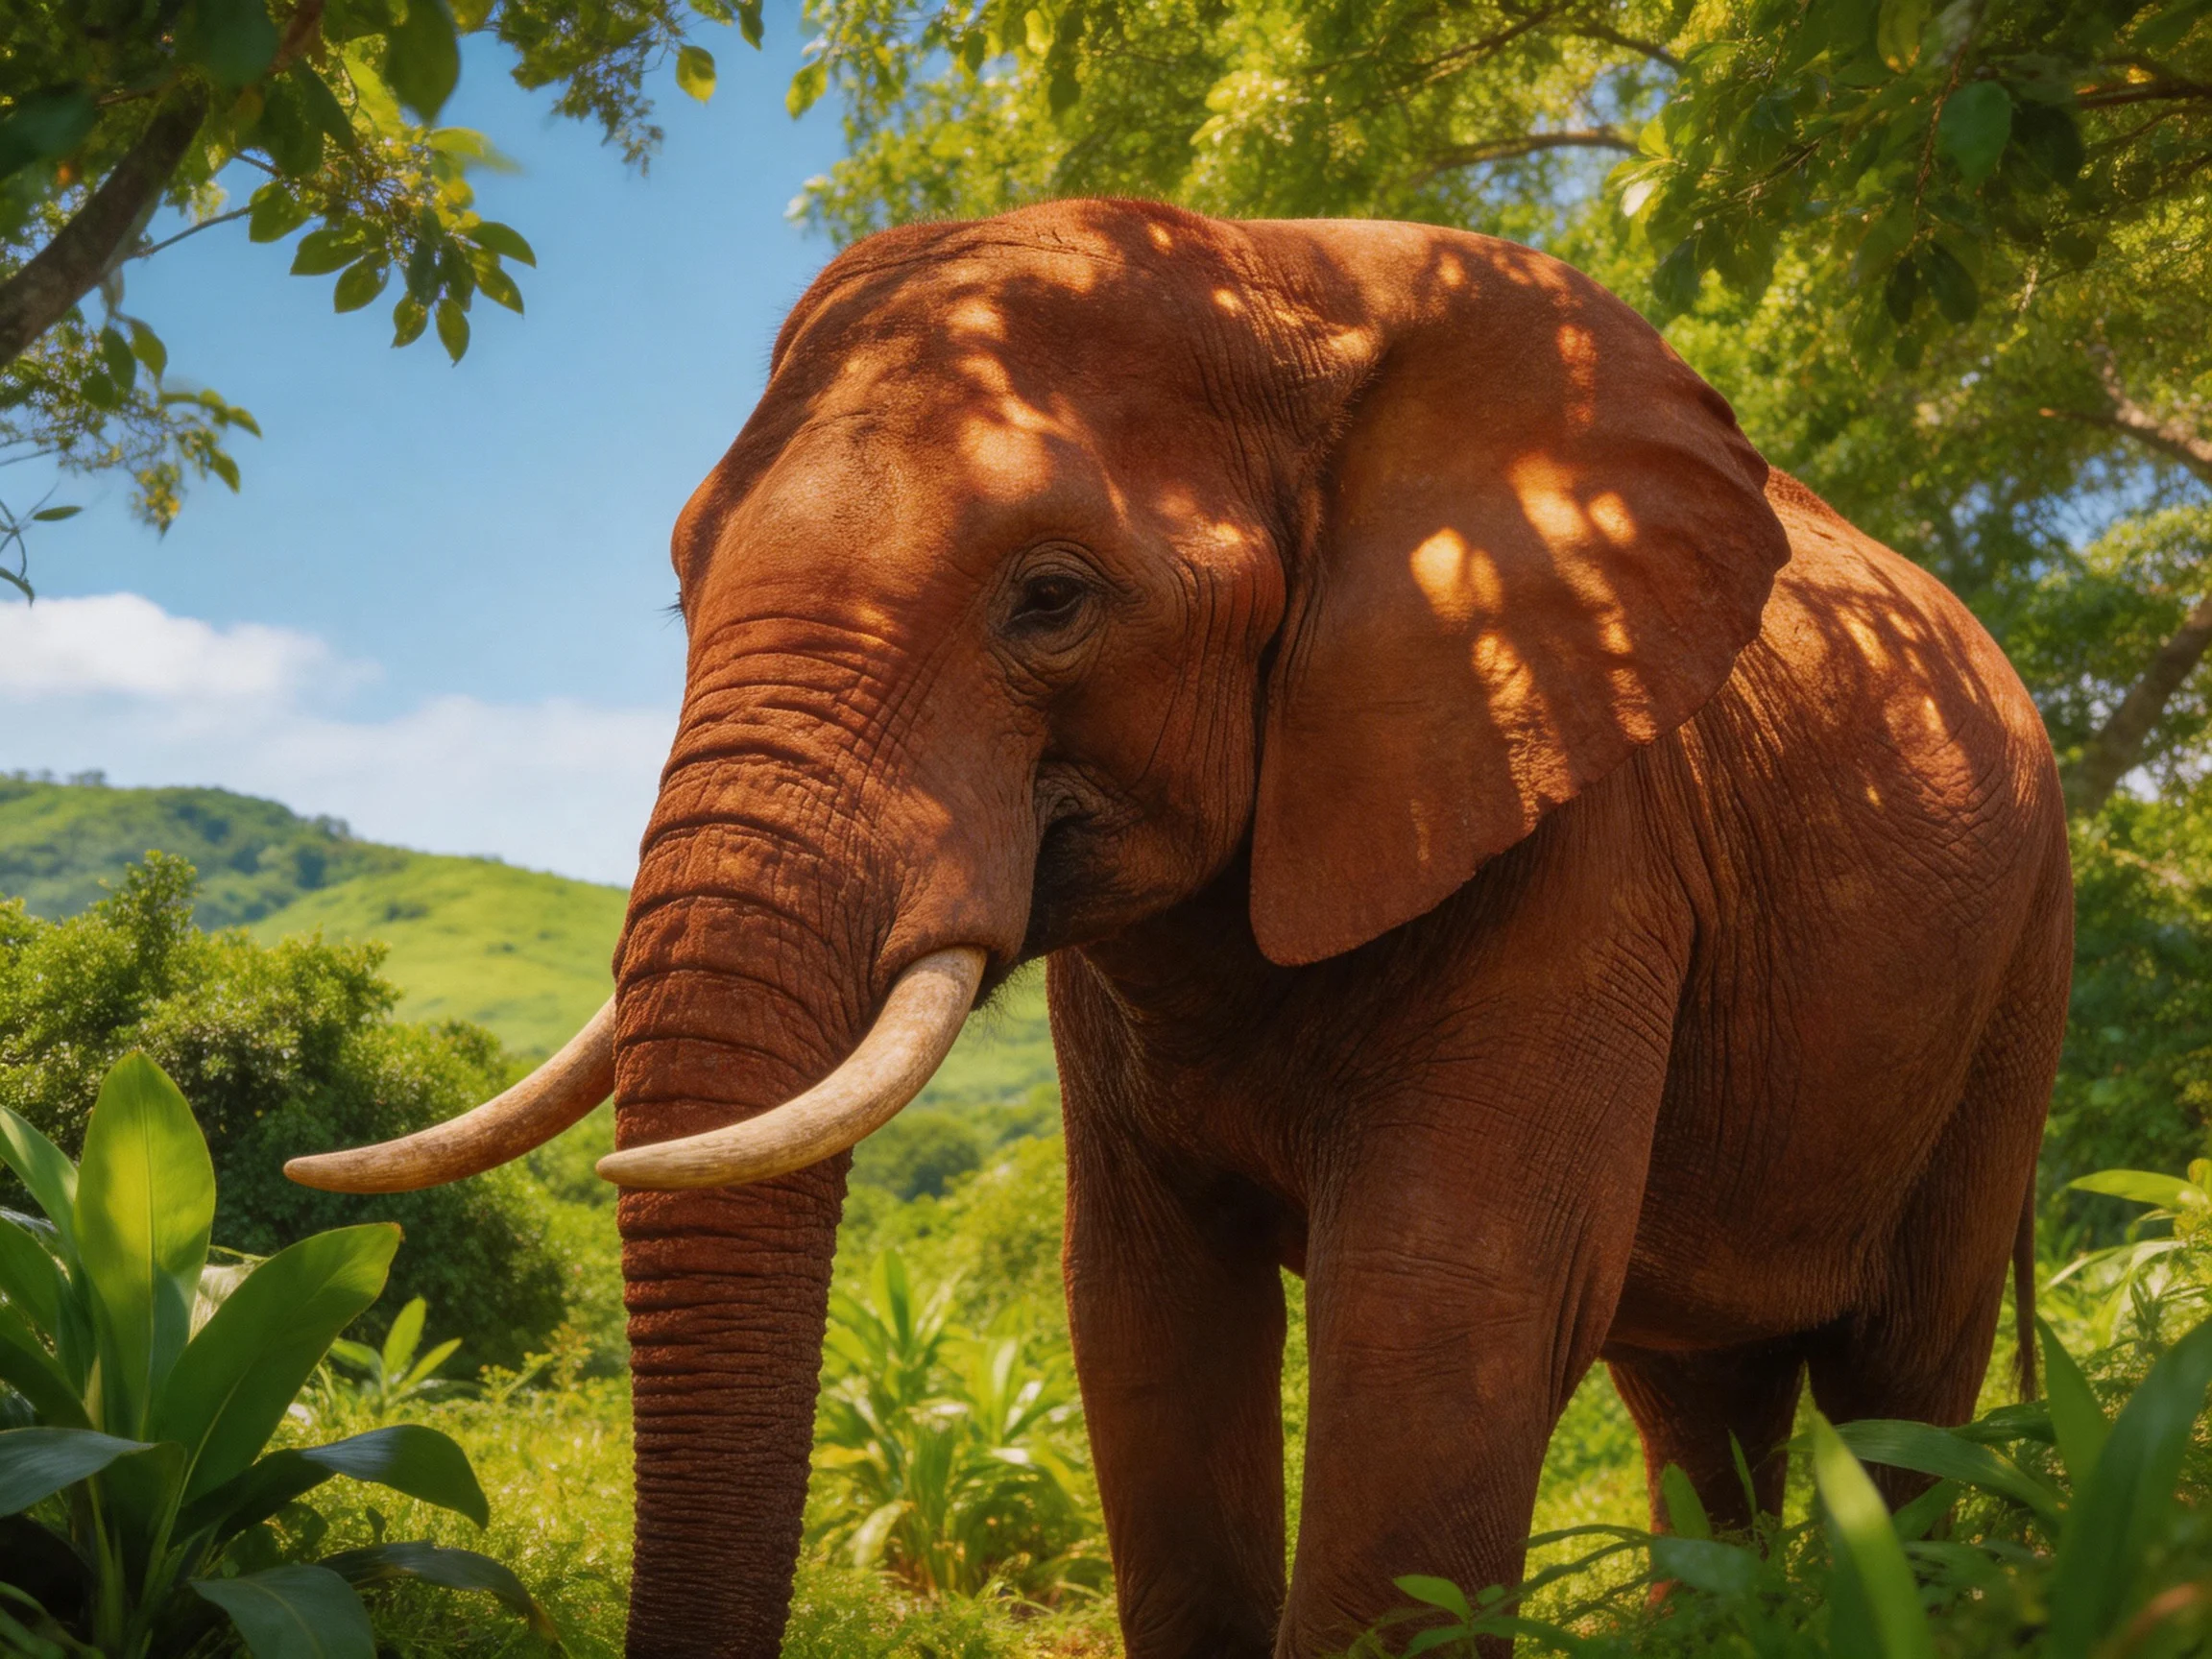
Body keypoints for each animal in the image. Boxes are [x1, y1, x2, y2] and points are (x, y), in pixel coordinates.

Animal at [289, 199, 2072, 1659]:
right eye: (679, 590)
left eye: (1052, 600)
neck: (1289, 280)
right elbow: (1145, 1316)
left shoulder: (1582, 834)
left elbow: (1443, 1308)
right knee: (1695, 1392)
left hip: (2015, 974)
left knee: (1904, 1366)